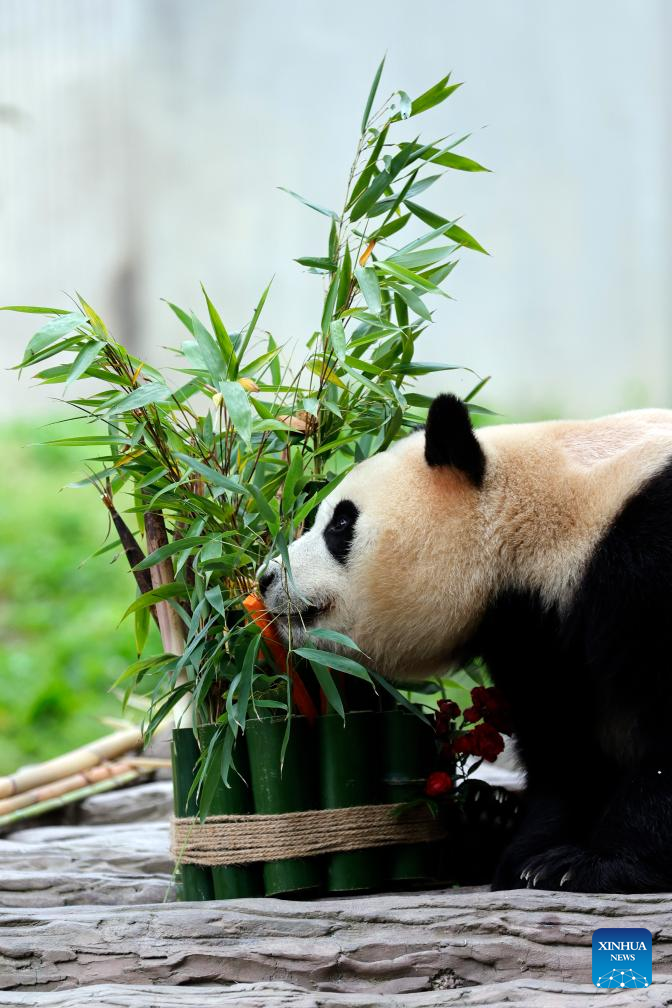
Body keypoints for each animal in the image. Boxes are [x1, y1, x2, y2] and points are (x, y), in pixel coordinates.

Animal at [259, 393, 672, 891]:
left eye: (340, 523)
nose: (265, 579)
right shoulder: (533, 629)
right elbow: (560, 742)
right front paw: (528, 857)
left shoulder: (646, 556)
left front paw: (590, 864)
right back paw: (485, 815)